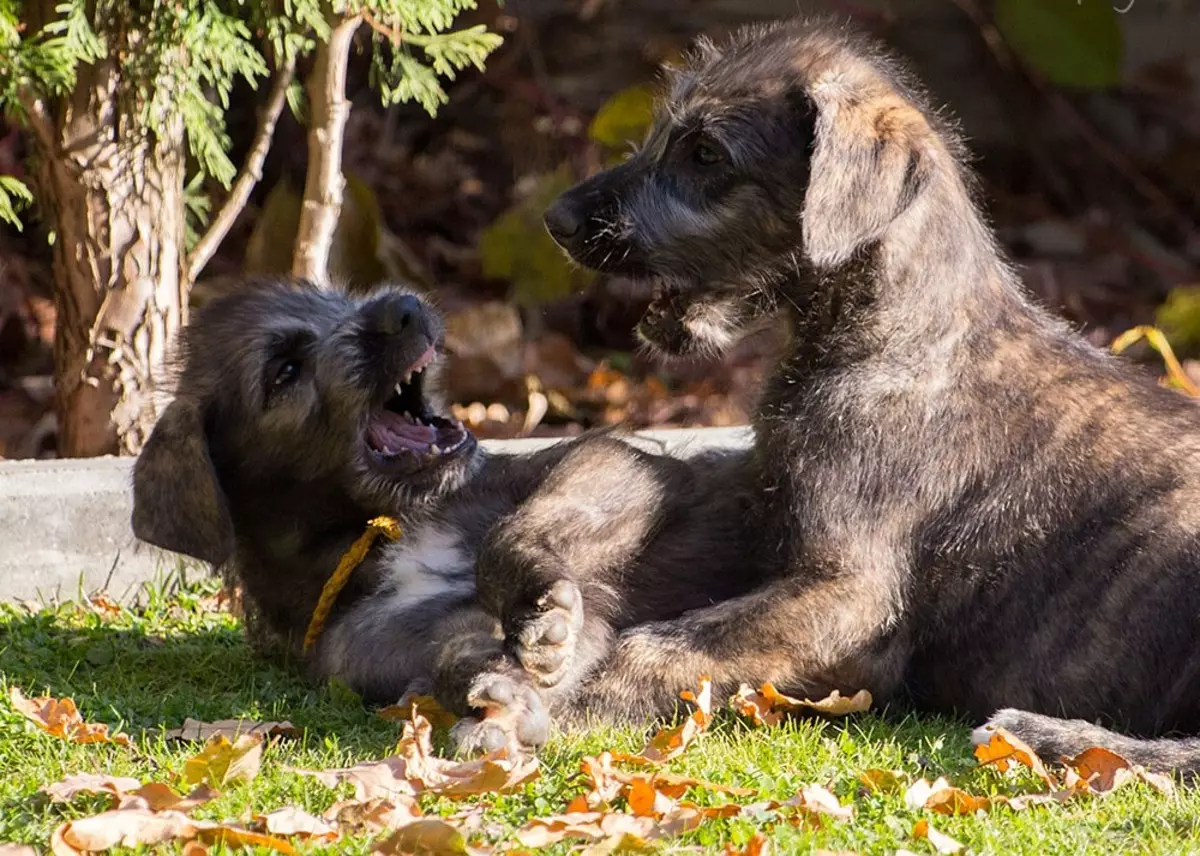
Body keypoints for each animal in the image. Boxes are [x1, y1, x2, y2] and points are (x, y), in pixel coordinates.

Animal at [133, 277, 758, 749]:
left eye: (339, 298)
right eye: (285, 369)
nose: (403, 309)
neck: (383, 530)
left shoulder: (610, 465)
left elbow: (510, 533)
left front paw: (539, 609)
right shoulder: (383, 645)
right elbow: (456, 656)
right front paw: (498, 699)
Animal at [544, 15, 1200, 773]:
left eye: (705, 154)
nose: (556, 219)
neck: (892, 334)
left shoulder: (849, 597)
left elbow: (660, 644)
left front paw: (559, 711)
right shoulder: (763, 523)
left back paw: (1048, 737)